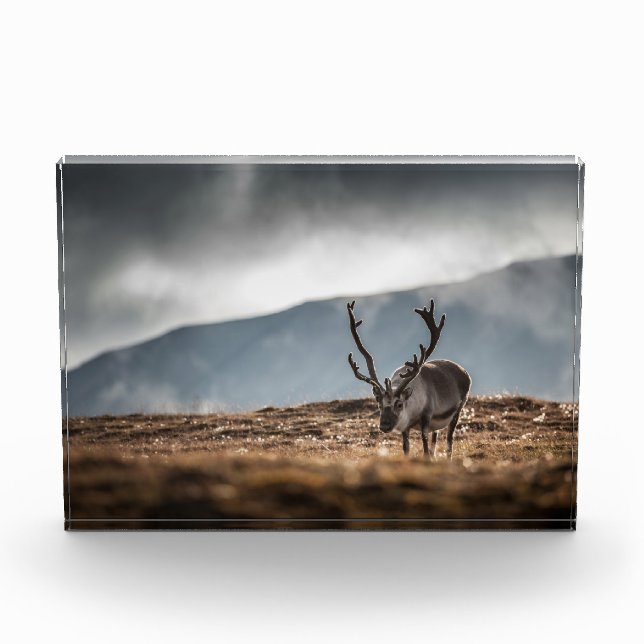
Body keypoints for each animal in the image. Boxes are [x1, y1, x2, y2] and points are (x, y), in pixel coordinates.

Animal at [346, 299, 471, 459]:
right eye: (379, 403)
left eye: (399, 404)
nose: (384, 425)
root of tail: (464, 372)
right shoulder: (405, 428)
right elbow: (406, 447)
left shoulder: (426, 416)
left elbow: (424, 446)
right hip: (437, 425)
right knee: (435, 439)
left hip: (458, 410)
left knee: (450, 440)